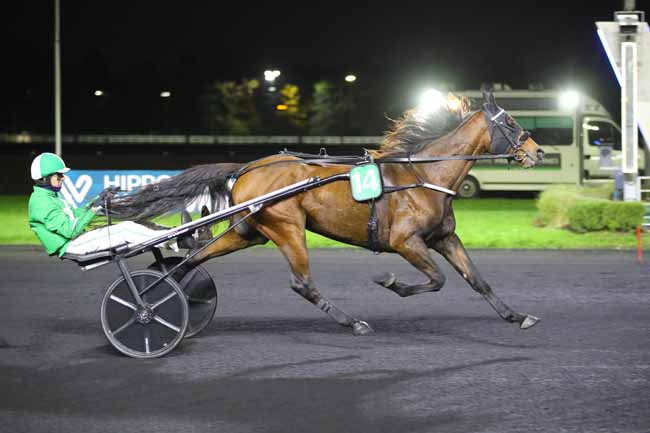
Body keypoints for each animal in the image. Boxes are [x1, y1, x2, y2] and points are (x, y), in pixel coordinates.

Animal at [110, 90, 540, 334]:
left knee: (192, 260)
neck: (423, 176)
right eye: (511, 121)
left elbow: (477, 280)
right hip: (288, 228)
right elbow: (437, 280)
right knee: (302, 283)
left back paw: (167, 294)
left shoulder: (444, 237)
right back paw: (354, 323)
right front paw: (391, 282)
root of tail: (246, 168)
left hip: (249, 231)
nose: (537, 152)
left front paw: (517, 316)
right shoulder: (406, 241)